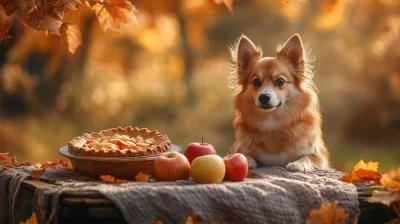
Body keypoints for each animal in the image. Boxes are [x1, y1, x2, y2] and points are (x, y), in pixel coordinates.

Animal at [230, 34, 330, 172]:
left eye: (280, 81)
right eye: (256, 82)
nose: (263, 97)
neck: (273, 122)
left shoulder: (320, 157)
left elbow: (308, 157)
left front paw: (298, 164)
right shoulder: (236, 149)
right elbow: (241, 154)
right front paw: (246, 160)